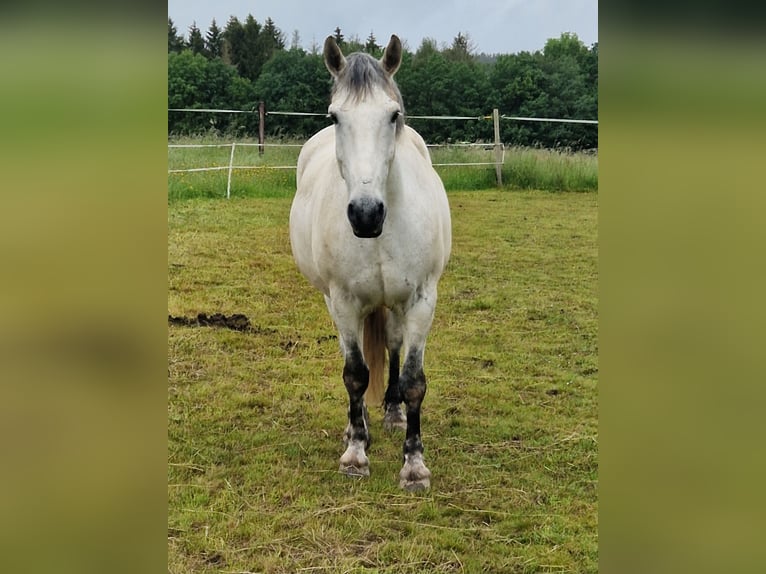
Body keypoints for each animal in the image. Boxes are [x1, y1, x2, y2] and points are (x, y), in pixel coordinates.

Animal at [292, 33, 452, 490]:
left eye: (392, 114)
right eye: (335, 116)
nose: (366, 214)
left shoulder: (421, 300)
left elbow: (413, 380)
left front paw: (414, 464)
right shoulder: (344, 301)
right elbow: (355, 373)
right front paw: (355, 453)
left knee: (394, 347)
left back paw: (393, 414)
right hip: (335, 301)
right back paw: (356, 423)